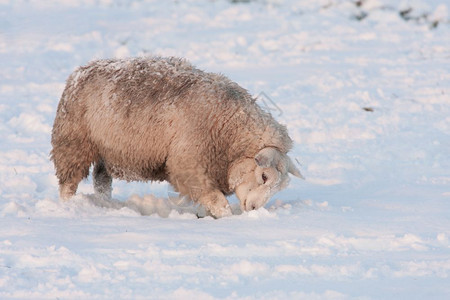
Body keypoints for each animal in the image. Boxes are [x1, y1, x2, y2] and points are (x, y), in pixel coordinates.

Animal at [50, 56, 302, 217]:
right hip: (73, 142)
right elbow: (218, 202)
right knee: (69, 183)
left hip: (106, 149)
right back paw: (69, 206)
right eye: (264, 176)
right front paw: (225, 218)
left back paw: (105, 204)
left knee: (102, 181)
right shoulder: (188, 165)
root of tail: (80, 71)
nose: (253, 209)